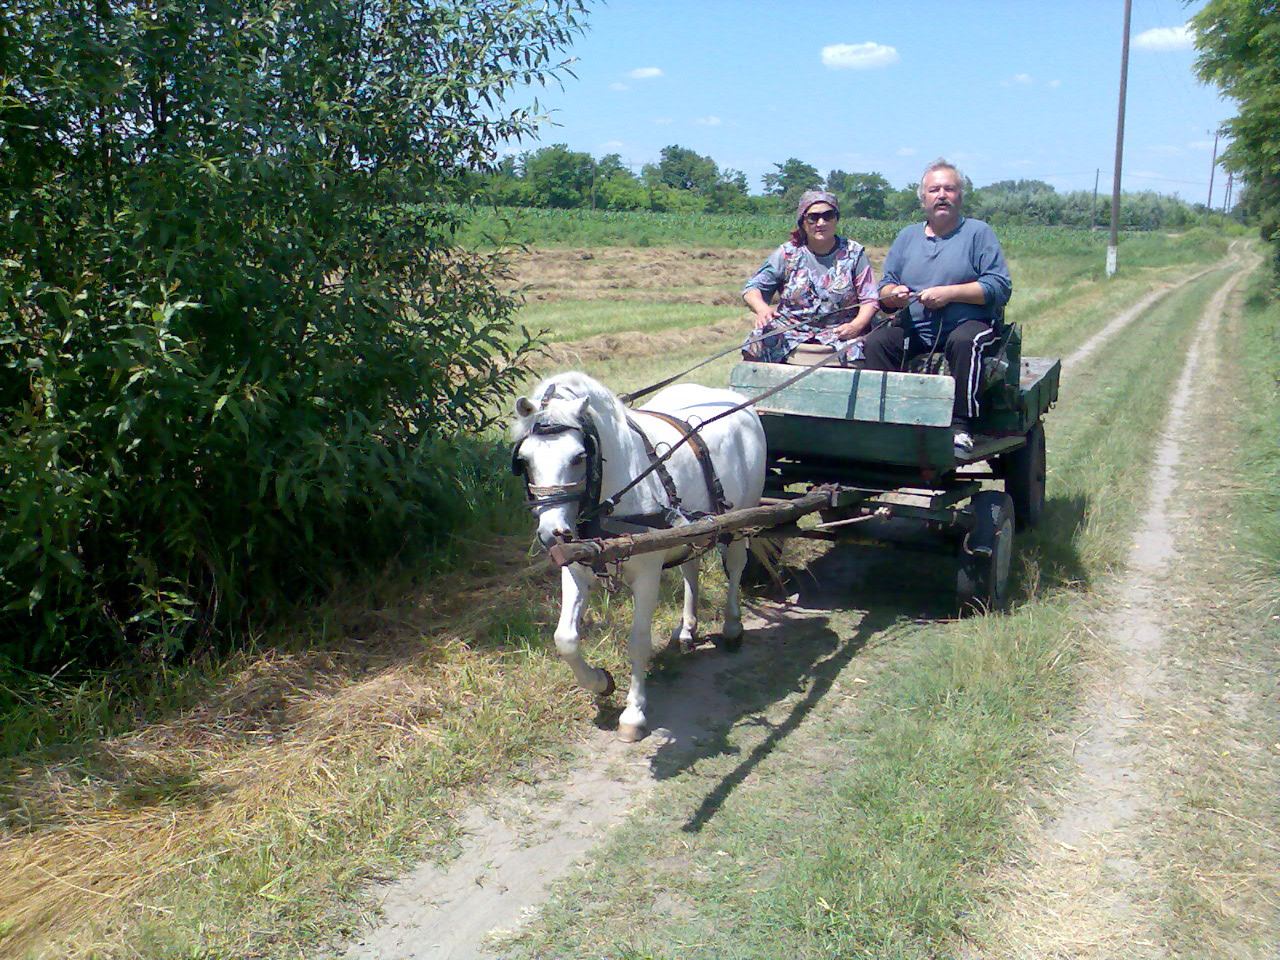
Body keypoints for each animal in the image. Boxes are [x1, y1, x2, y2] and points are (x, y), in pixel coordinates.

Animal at [509, 373, 762, 742]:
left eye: (579, 457)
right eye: (525, 460)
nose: (552, 534)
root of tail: (734, 400)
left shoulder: (647, 573)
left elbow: (638, 641)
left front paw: (633, 713)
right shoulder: (576, 566)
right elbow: (565, 639)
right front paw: (600, 682)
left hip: (741, 521)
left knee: (737, 566)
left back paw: (732, 627)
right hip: (690, 530)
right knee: (691, 570)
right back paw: (687, 629)